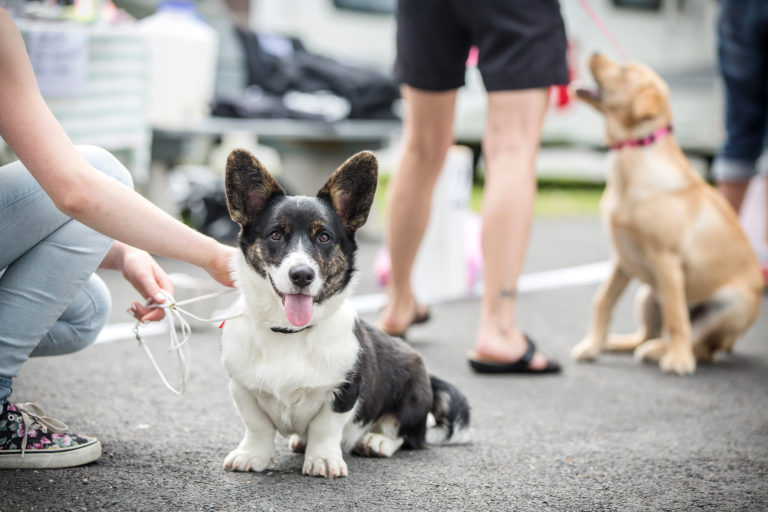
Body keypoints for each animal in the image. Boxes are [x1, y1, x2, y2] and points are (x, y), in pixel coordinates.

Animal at [219, 150, 472, 478]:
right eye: (275, 235)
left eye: (324, 237)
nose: (302, 275)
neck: (290, 332)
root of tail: (428, 375)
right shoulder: (243, 389)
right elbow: (257, 426)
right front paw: (252, 455)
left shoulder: (344, 391)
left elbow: (325, 428)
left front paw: (323, 460)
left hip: (412, 395)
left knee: (406, 435)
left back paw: (376, 441)